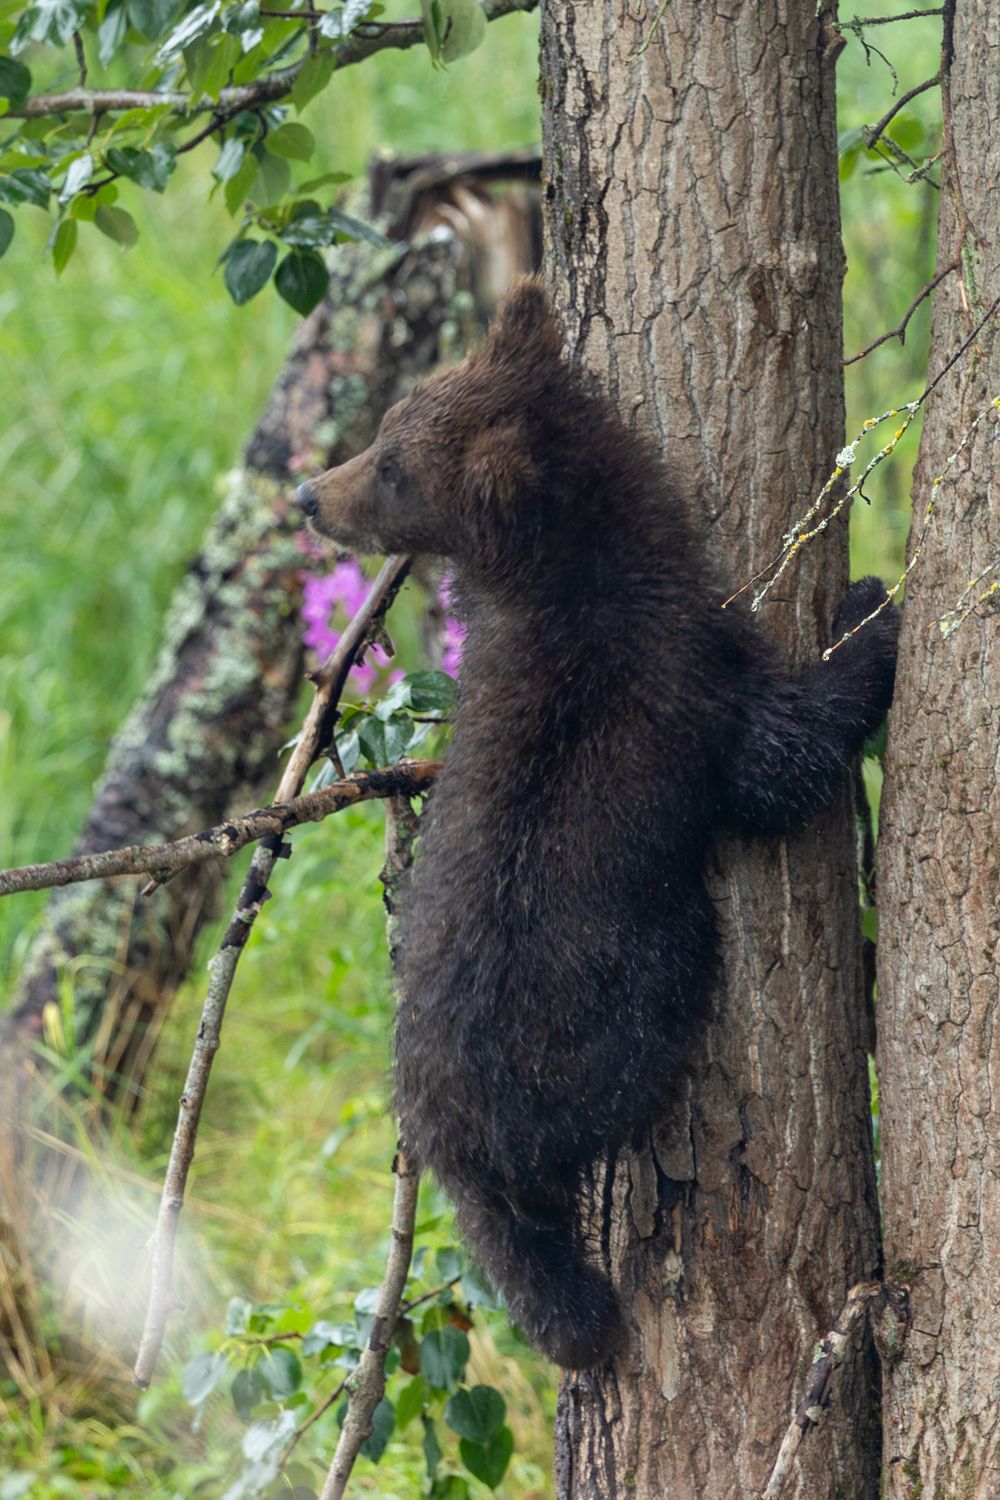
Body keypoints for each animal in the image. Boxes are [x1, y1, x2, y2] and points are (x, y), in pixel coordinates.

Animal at [296, 279, 899, 1370]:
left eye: (390, 453)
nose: (308, 495)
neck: (578, 572)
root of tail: (451, 1134)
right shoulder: (668, 687)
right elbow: (772, 764)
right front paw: (872, 609)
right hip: (617, 1003)